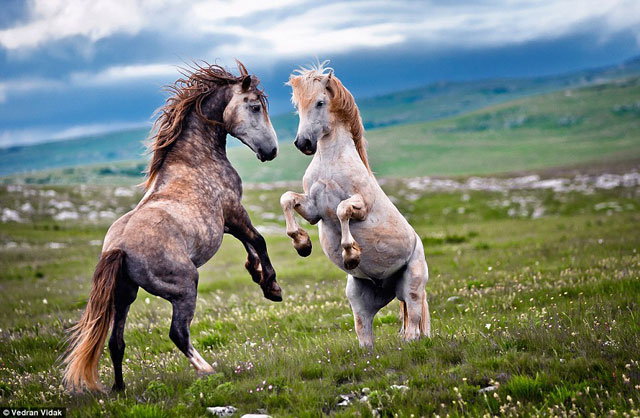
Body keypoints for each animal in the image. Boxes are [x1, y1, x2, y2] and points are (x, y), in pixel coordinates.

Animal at [63, 61, 282, 392]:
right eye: (255, 106)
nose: (271, 151)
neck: (194, 160)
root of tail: (119, 248)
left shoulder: (226, 222)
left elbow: (250, 245)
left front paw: (256, 274)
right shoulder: (233, 211)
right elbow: (258, 241)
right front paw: (271, 286)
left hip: (124, 297)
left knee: (116, 343)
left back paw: (119, 389)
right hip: (184, 287)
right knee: (178, 333)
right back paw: (208, 370)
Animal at [280, 63, 431, 348]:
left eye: (319, 102)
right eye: (297, 107)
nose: (303, 143)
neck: (330, 162)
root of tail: (386, 285)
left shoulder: (361, 206)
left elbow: (342, 211)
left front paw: (351, 254)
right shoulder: (313, 210)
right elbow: (287, 199)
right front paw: (302, 244)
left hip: (413, 288)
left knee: (414, 328)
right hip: (359, 299)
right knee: (365, 335)